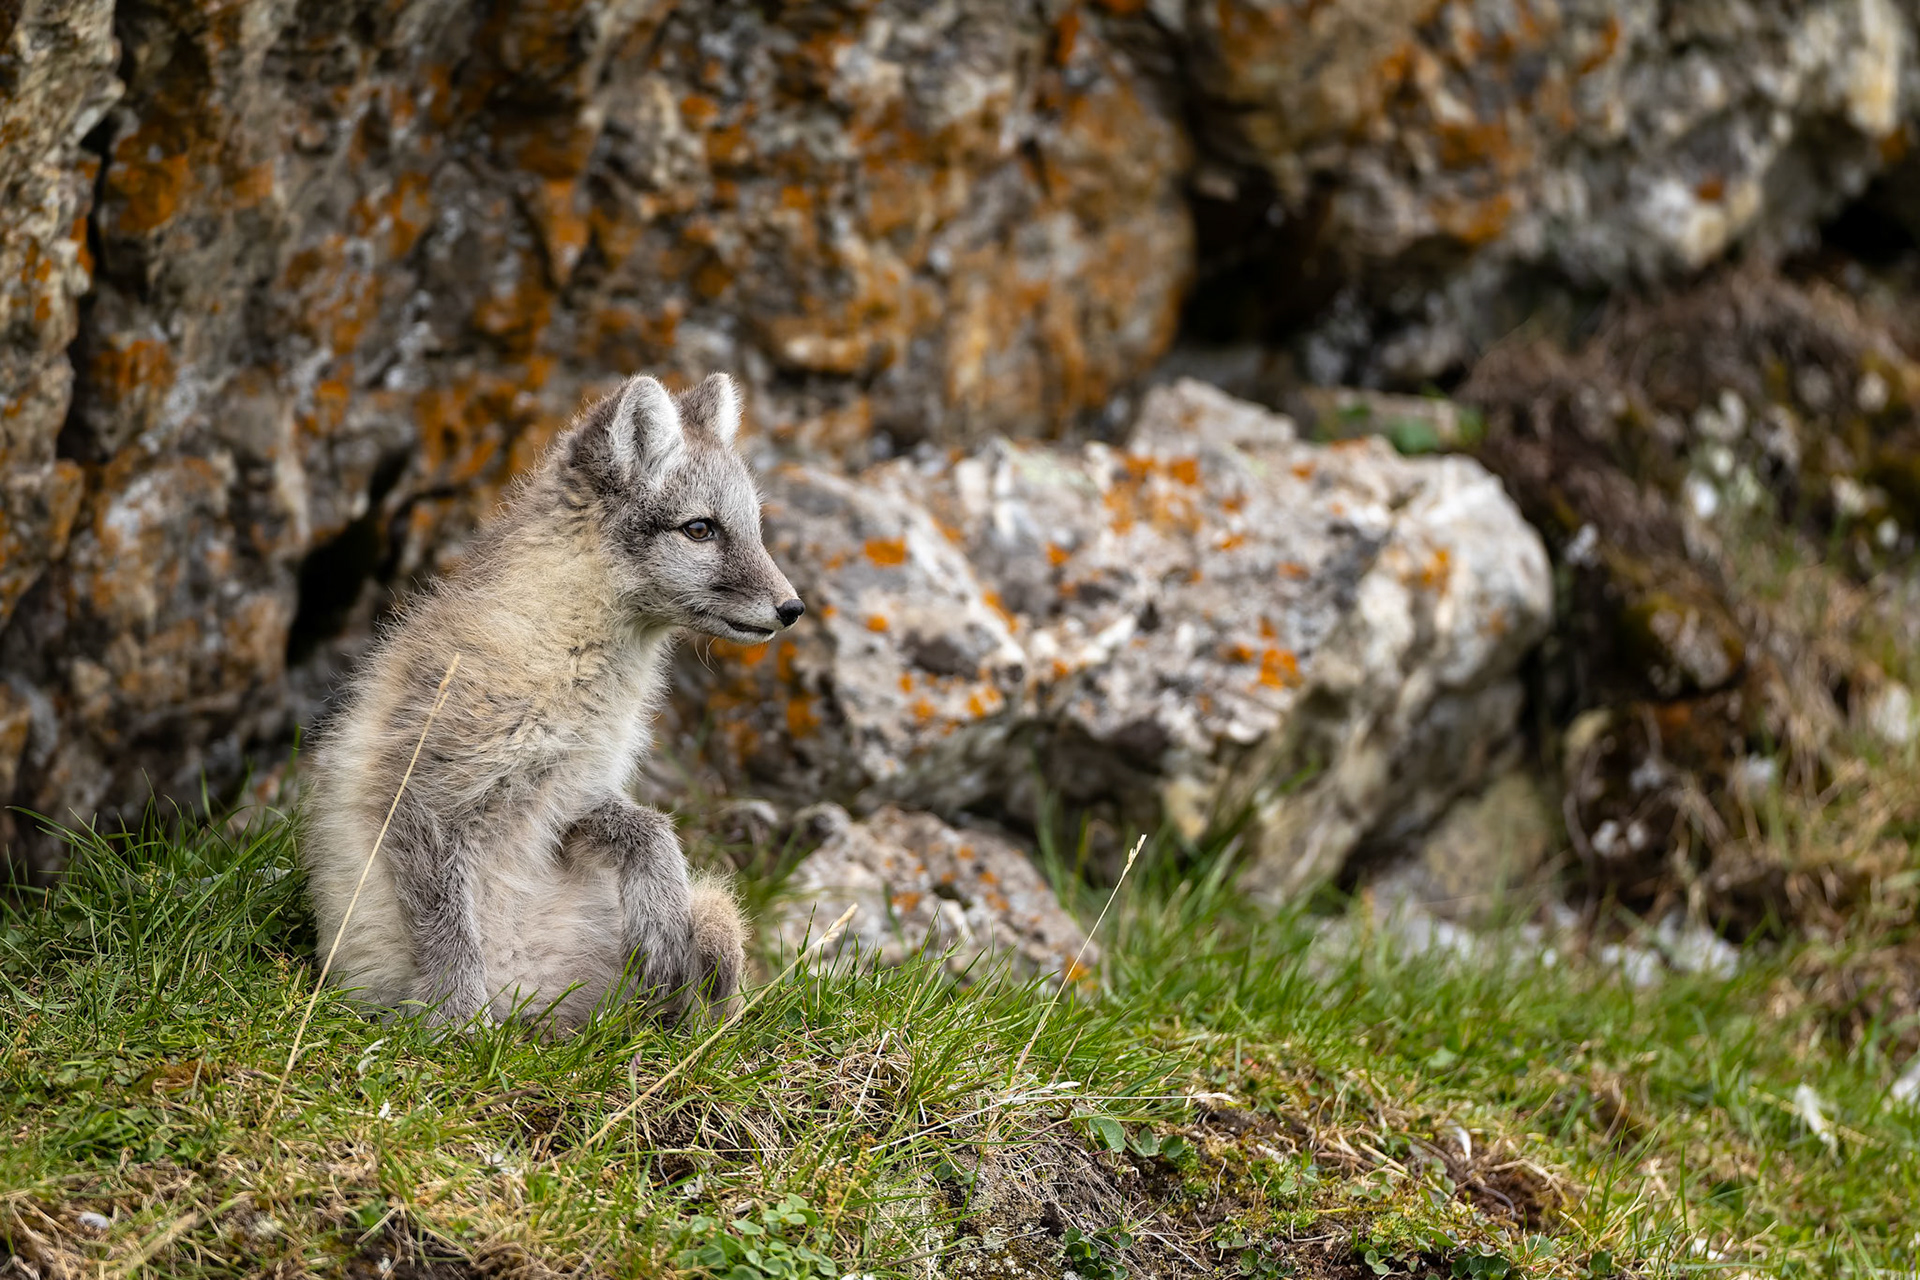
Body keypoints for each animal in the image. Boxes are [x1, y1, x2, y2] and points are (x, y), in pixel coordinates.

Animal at [299, 372, 803, 1031]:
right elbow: (447, 933)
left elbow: (646, 825)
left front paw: (660, 908)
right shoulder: (420, 794)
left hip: (714, 918)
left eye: (754, 528)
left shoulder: (576, 789)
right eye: (700, 529)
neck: (567, 654)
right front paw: (459, 1025)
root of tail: (539, 1019)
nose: (793, 608)